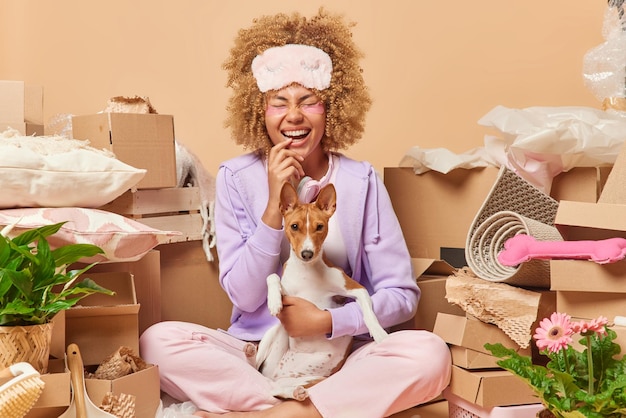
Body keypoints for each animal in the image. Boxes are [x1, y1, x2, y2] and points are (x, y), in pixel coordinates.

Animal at [254, 183, 386, 402]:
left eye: (320, 227)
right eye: (294, 226)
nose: (307, 253)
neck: (307, 272)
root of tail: (277, 374)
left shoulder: (355, 288)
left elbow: (368, 312)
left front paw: (379, 333)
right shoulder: (287, 293)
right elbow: (271, 276)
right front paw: (273, 301)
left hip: (316, 379)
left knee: (275, 390)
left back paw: (295, 391)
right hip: (273, 335)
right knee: (253, 366)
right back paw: (248, 351)